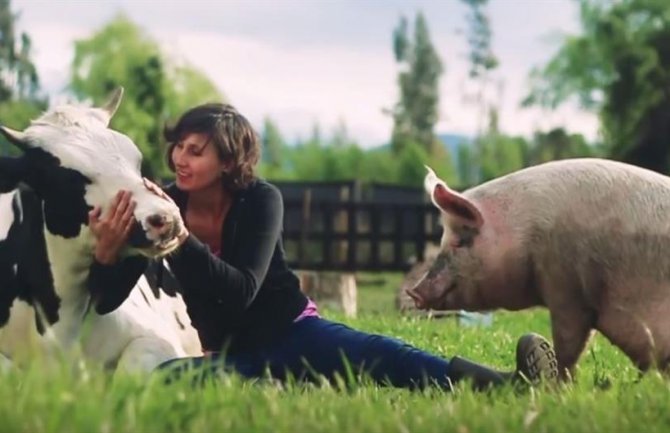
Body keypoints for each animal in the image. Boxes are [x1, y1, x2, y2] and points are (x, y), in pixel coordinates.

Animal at [410, 158, 670, 378]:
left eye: (459, 242)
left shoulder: (566, 289)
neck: (524, 234)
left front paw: (560, 386)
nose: (413, 292)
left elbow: (569, 345)